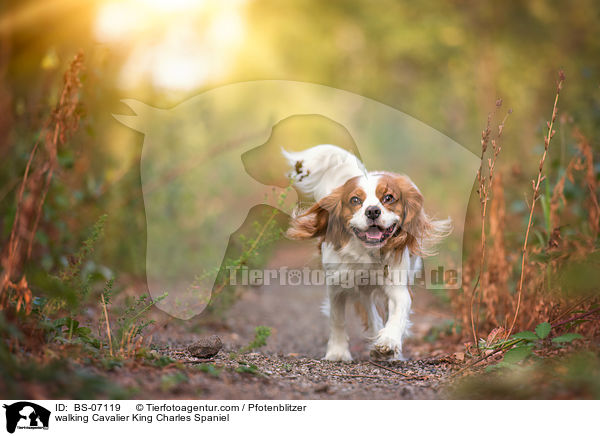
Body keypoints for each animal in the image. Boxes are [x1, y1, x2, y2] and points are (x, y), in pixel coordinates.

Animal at [284, 145, 448, 360]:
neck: (366, 254)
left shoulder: (397, 285)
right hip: (362, 289)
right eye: (355, 200)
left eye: (388, 198)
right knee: (370, 311)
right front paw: (337, 352)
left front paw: (389, 341)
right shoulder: (337, 285)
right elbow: (337, 319)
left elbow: (399, 311)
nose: (372, 211)